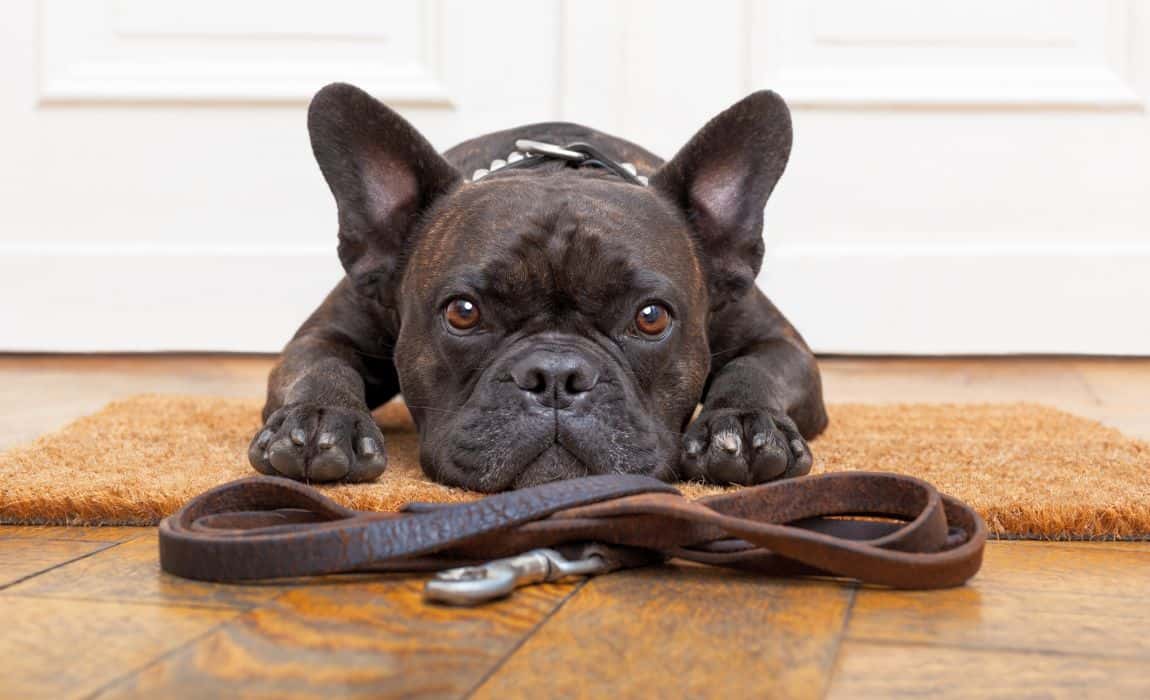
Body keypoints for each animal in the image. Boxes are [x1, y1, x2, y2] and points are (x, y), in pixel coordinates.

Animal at [251, 83, 828, 491]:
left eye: (651, 317)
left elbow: (754, 368)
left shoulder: (781, 344)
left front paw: (747, 425)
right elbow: (321, 365)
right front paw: (321, 419)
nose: (555, 375)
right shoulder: (326, 335)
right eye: (462, 312)